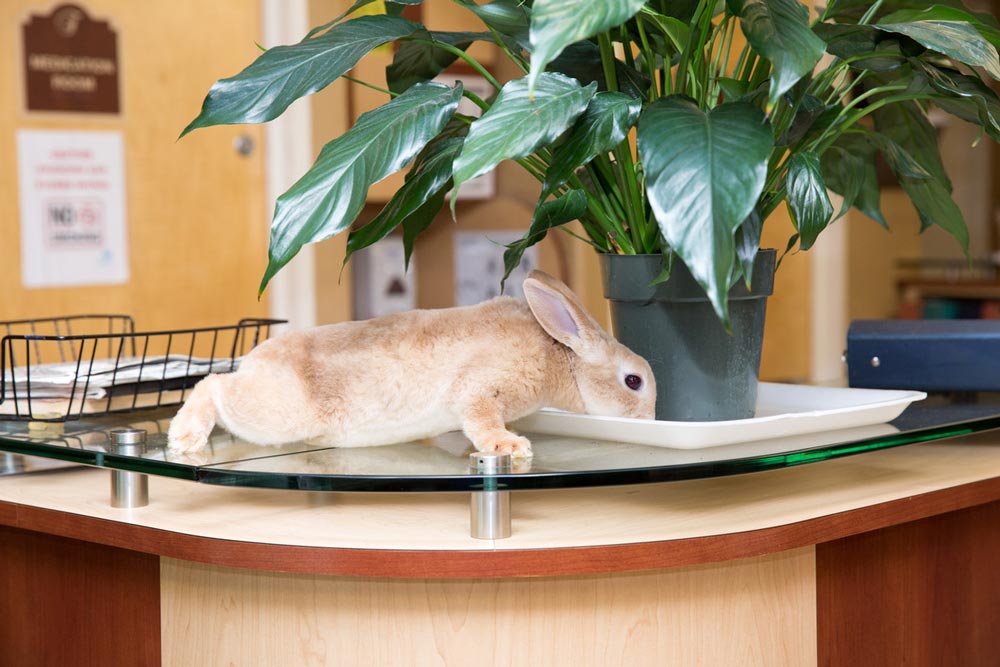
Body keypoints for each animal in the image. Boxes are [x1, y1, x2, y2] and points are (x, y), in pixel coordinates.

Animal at [168, 268, 656, 460]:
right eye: (633, 381)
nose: (652, 421)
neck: (558, 353)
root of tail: (253, 361)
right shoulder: (481, 387)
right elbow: (480, 417)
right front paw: (510, 446)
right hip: (276, 414)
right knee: (211, 385)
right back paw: (185, 436)